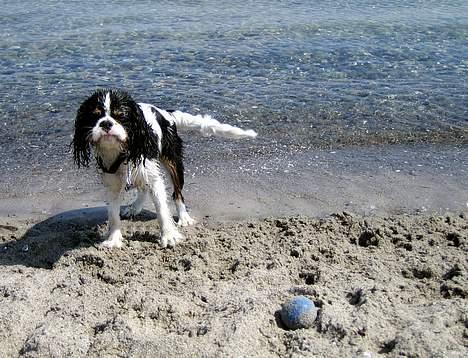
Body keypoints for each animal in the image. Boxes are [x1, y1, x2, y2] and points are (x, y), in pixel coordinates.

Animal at [72, 88, 256, 248]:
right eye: (94, 116)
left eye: (121, 116)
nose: (106, 123)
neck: (121, 151)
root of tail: (166, 113)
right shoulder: (112, 182)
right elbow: (113, 214)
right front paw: (113, 239)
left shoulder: (154, 178)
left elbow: (162, 208)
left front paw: (169, 236)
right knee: (143, 188)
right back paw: (134, 207)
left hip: (173, 162)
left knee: (177, 193)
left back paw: (183, 217)